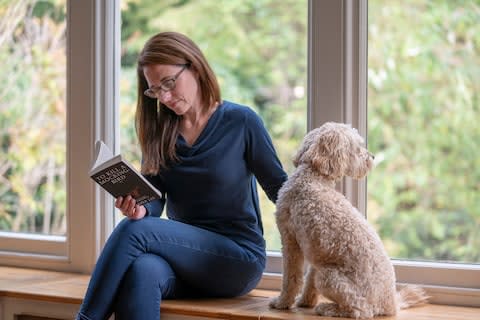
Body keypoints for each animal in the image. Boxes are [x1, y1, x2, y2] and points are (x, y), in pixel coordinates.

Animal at [268, 122, 430, 318]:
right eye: (357, 147)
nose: (372, 157)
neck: (314, 178)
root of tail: (391, 304)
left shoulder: (290, 240)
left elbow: (291, 279)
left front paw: (282, 303)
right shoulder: (318, 252)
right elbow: (309, 282)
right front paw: (305, 302)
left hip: (329, 276)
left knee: (361, 310)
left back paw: (328, 309)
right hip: (325, 268)